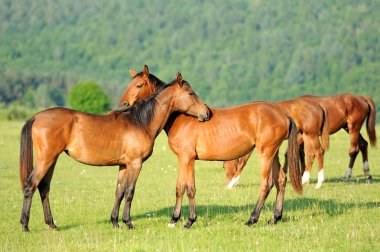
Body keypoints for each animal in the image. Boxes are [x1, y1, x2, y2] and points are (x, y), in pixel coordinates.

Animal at [19, 72, 209, 231]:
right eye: (191, 93)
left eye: (138, 85)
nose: (207, 113)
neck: (140, 122)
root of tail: (36, 116)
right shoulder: (135, 164)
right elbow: (130, 192)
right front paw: (128, 222)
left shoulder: (123, 165)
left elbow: (119, 192)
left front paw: (115, 222)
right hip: (46, 159)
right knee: (31, 185)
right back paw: (25, 225)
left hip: (52, 160)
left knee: (44, 188)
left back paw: (52, 224)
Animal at [117, 65, 302, 228]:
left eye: (139, 85)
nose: (123, 105)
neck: (182, 117)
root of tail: (283, 113)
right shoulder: (182, 159)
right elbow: (179, 187)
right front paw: (173, 220)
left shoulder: (188, 158)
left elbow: (189, 188)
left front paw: (189, 221)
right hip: (274, 152)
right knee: (281, 180)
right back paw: (275, 218)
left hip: (265, 152)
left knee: (266, 184)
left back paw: (252, 219)